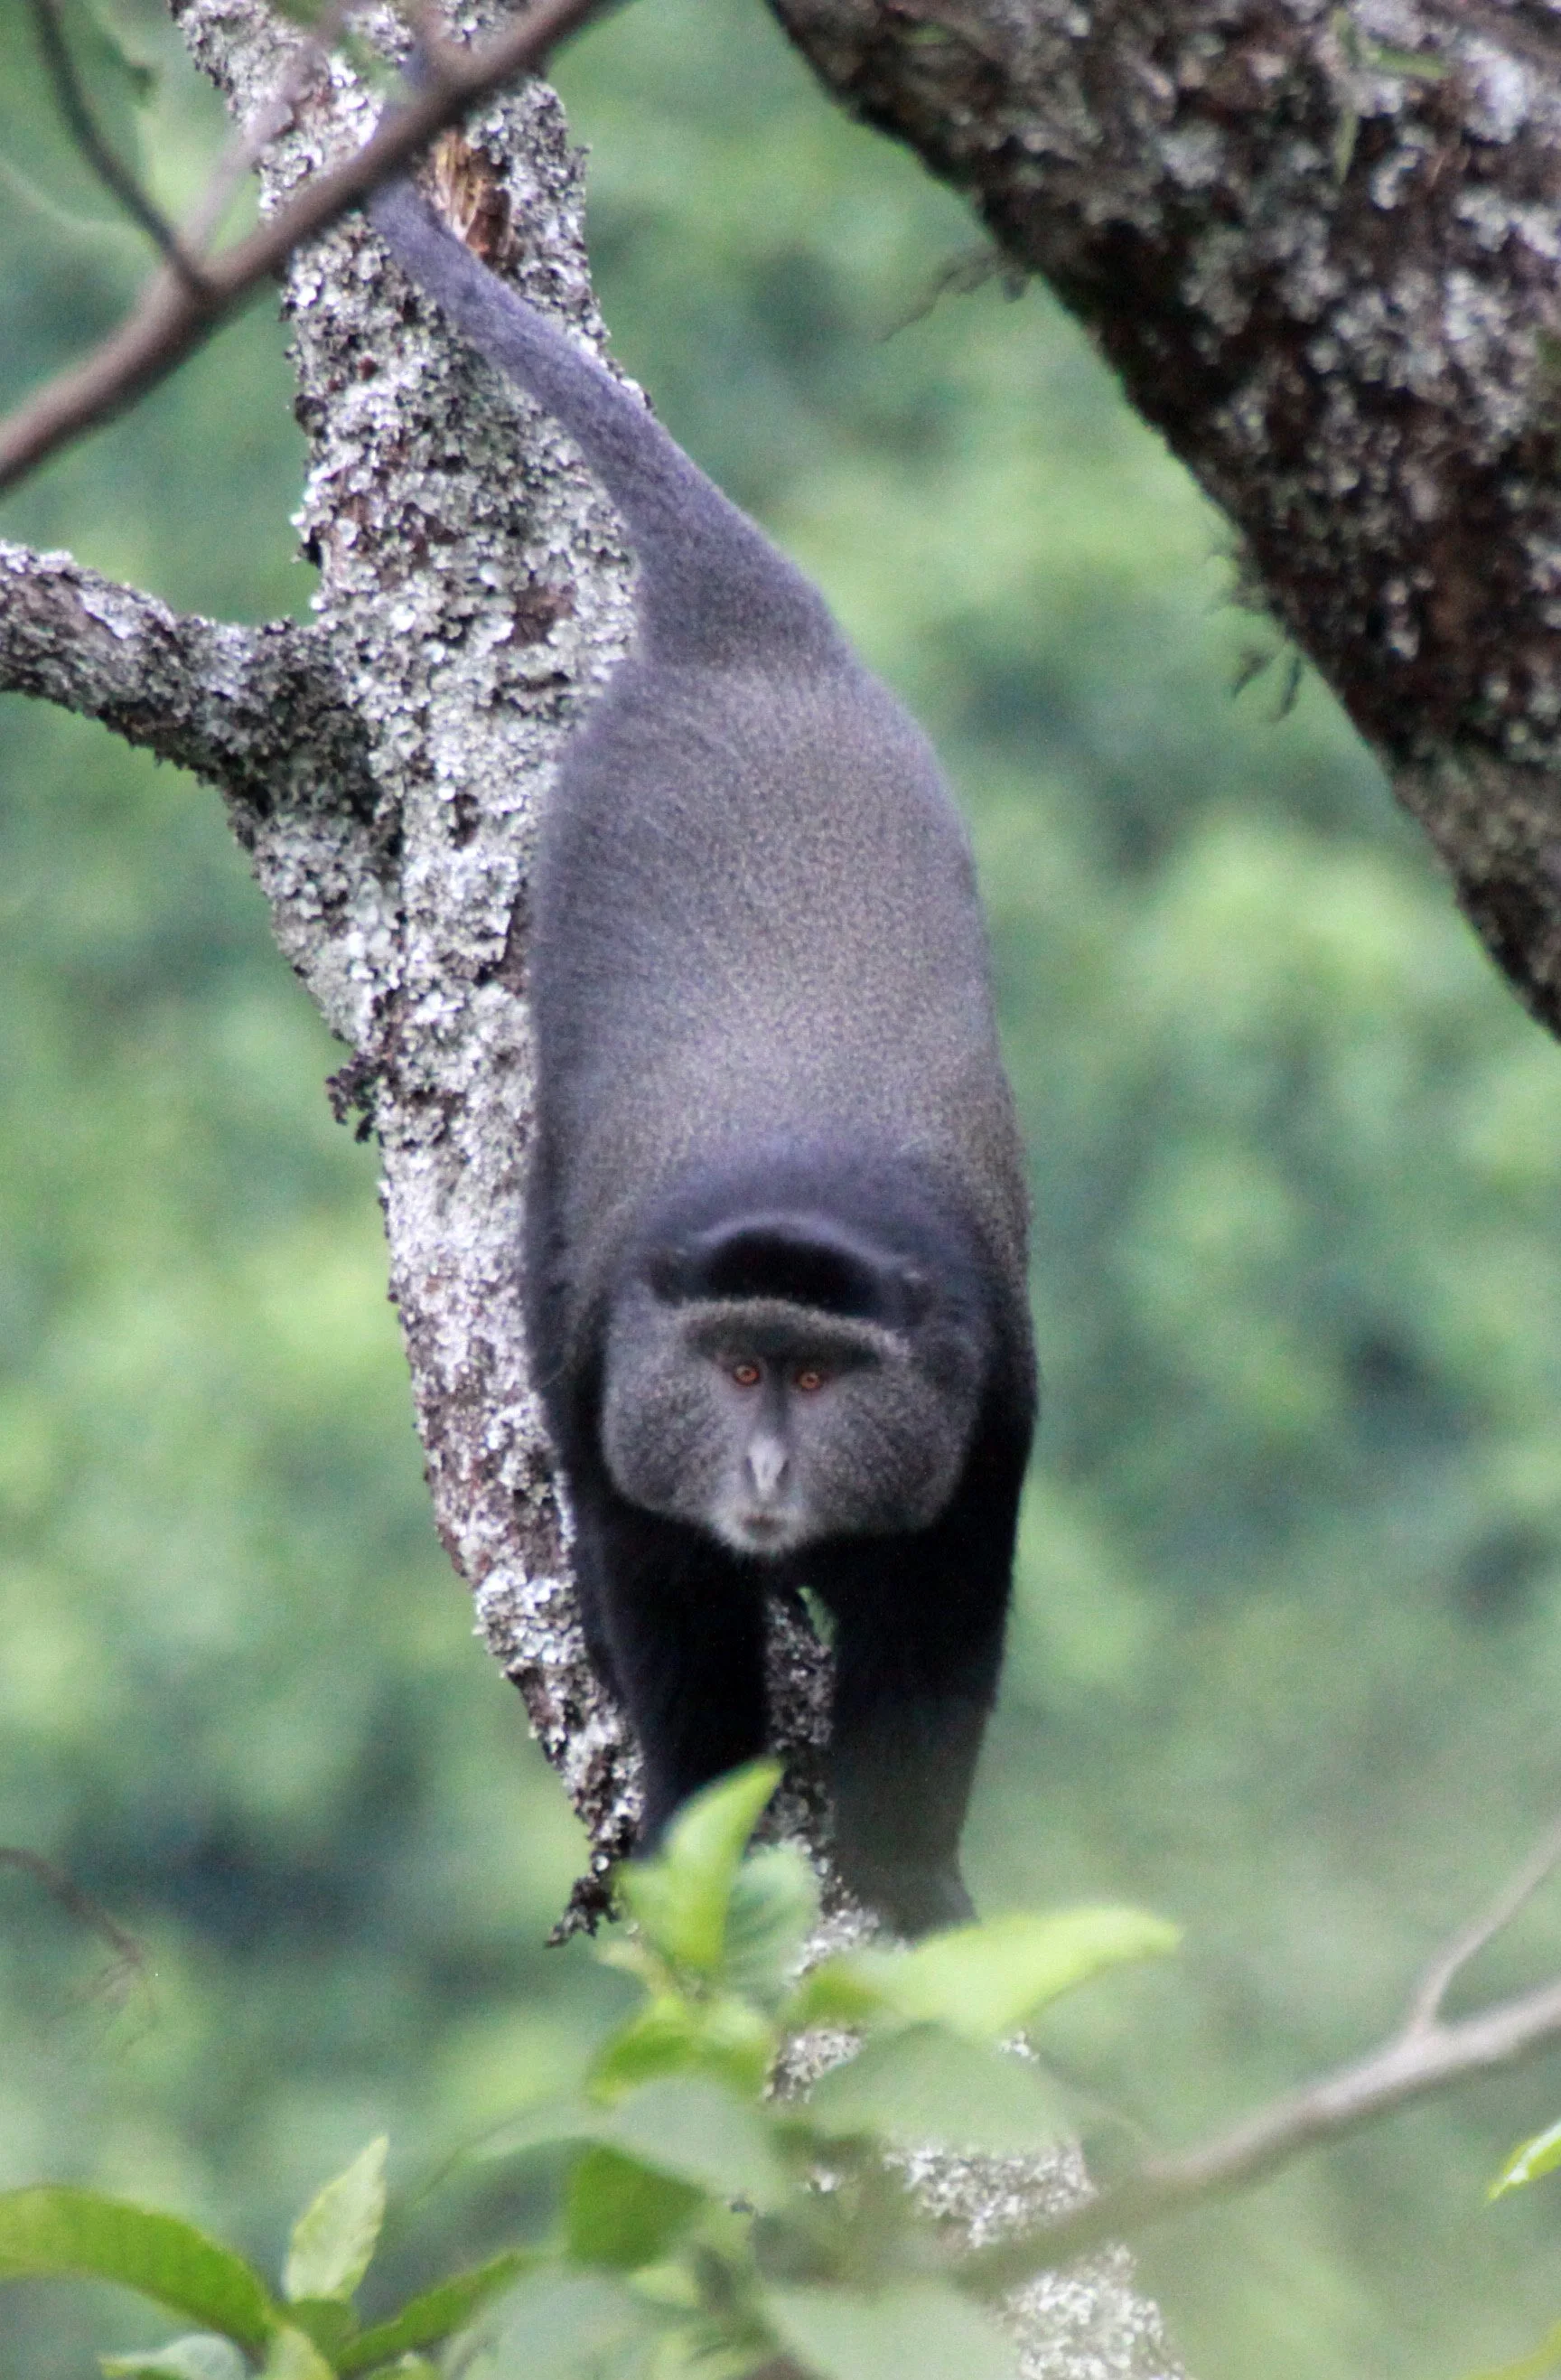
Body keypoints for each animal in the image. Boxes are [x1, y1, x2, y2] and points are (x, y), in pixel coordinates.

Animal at [367, 158, 1037, 1938]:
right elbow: (661, 1615)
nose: (762, 1458)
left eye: (810, 1371)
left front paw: (912, 1881)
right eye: (736, 1367)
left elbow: (941, 1643)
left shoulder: (988, 1411)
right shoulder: (624, 1372)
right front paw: (696, 1853)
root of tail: (746, 644)